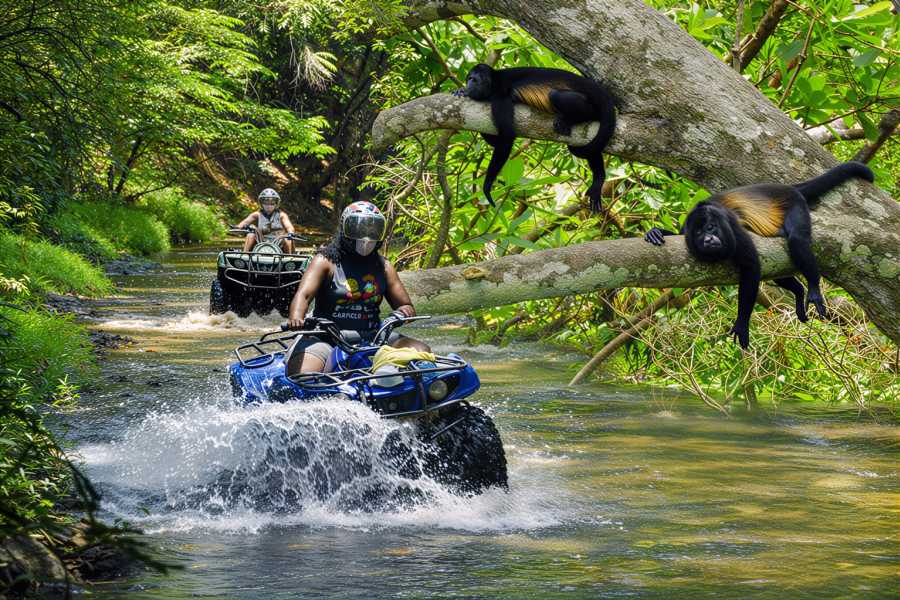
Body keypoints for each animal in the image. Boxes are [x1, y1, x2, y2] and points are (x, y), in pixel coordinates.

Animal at [453, 64, 616, 212]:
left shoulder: (500, 96)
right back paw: (599, 179)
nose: (468, 84)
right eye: (468, 78)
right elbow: (497, 140)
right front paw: (461, 91)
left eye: (473, 79)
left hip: (589, 105)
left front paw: (487, 186)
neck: (494, 82)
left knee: (557, 96)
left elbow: (506, 137)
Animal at [643, 162, 874, 349]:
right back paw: (799, 291)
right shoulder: (686, 232)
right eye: (699, 233)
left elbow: (752, 267)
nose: (708, 239)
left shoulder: (733, 230)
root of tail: (787, 187)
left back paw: (813, 288)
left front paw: (742, 323)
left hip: (795, 202)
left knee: (797, 240)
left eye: (711, 227)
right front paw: (655, 233)